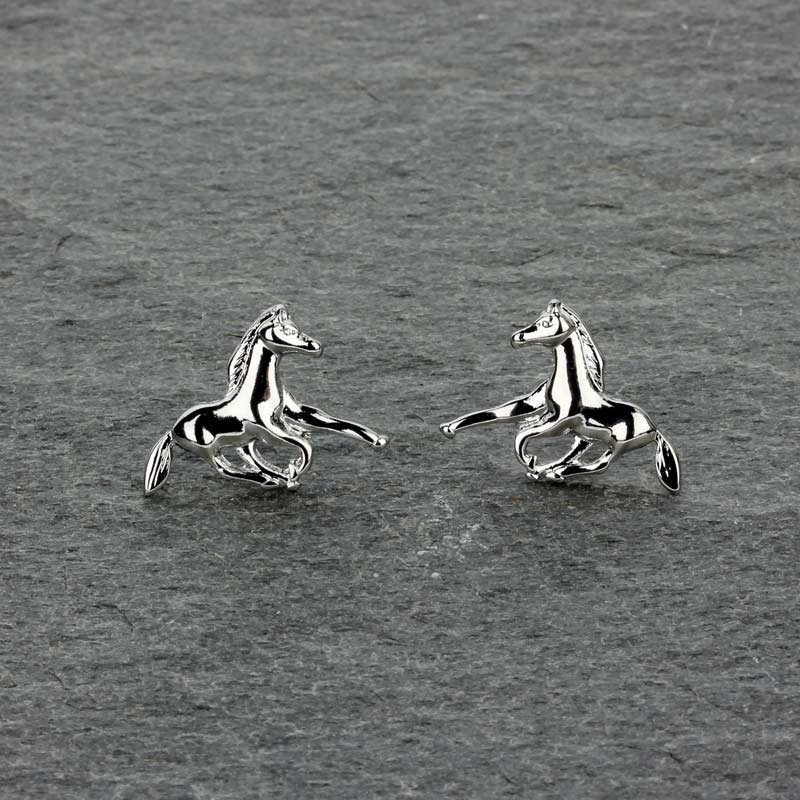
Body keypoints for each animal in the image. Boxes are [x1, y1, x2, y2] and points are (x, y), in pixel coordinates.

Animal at [144, 304, 388, 494]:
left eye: (297, 328)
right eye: (288, 330)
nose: (316, 347)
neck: (256, 393)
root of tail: (173, 430)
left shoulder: (293, 413)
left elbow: (332, 423)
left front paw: (378, 439)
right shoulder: (268, 429)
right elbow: (306, 447)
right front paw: (294, 469)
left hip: (242, 439)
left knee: (248, 457)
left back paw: (276, 477)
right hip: (209, 450)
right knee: (226, 468)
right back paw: (270, 479)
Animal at [440, 300, 680, 492]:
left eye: (547, 323)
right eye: (536, 319)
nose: (517, 337)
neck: (574, 388)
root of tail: (654, 429)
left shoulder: (560, 422)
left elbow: (522, 436)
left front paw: (530, 460)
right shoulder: (539, 408)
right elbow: (502, 416)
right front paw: (448, 428)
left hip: (617, 445)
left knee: (600, 465)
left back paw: (554, 473)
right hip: (588, 436)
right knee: (577, 453)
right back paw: (547, 470)